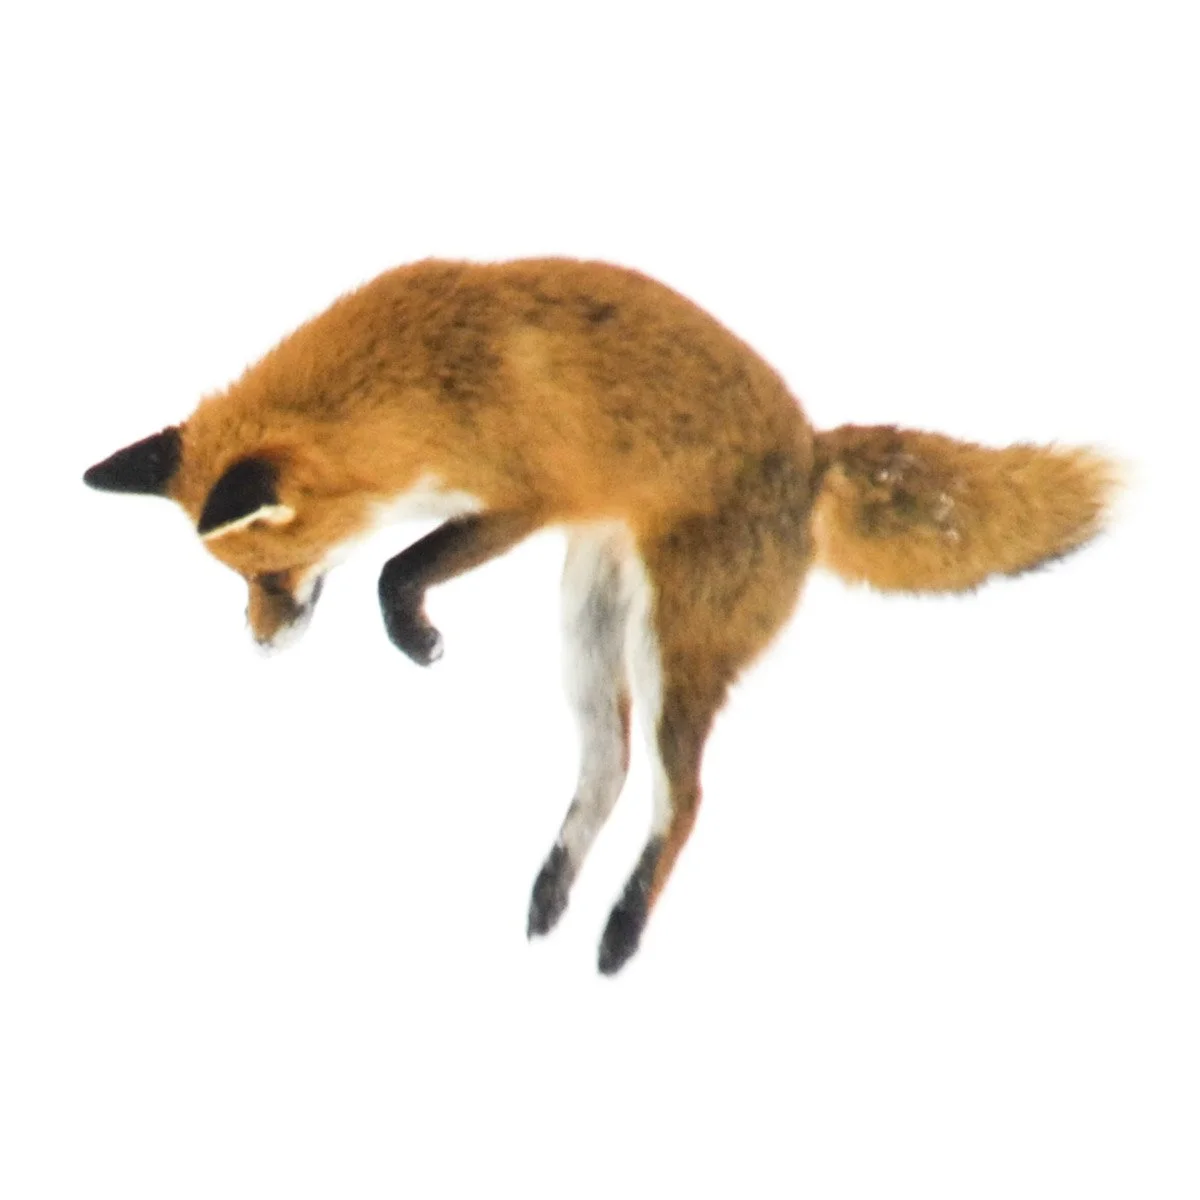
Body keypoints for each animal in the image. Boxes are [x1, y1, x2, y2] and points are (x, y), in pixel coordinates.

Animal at [84, 258, 1117, 974]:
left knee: (683, 797)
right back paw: (554, 893)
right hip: (588, 635)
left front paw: (415, 636)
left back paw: (621, 930)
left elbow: (393, 569)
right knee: (610, 769)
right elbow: (396, 564)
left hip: (672, 650)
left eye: (269, 571)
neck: (420, 382)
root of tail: (813, 452)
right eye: (241, 581)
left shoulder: (528, 498)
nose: (260, 646)